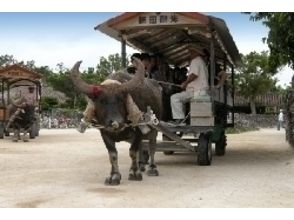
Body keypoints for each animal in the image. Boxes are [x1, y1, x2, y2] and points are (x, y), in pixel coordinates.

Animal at [70, 58, 163, 186]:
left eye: (121, 100)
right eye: (102, 101)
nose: (116, 122)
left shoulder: (138, 130)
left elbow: (132, 151)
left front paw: (134, 173)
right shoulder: (104, 133)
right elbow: (112, 155)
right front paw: (114, 176)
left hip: (154, 127)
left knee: (152, 146)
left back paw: (152, 168)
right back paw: (141, 165)